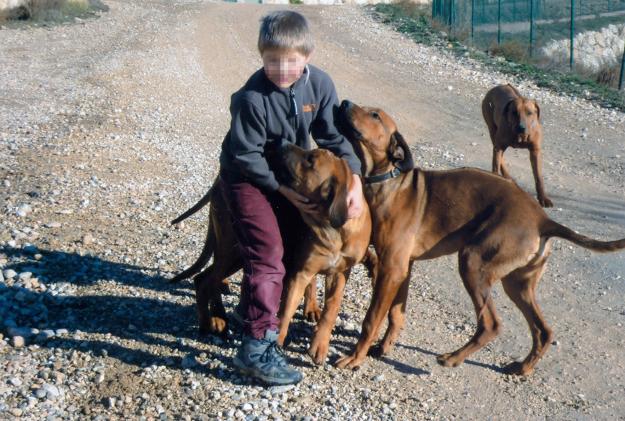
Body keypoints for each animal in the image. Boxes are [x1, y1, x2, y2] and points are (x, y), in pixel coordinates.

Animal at [336, 101, 624, 374]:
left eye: (375, 115)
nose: (345, 103)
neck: (388, 180)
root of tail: (542, 219)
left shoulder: (391, 268)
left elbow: (372, 318)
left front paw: (355, 357)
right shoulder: (403, 267)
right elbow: (396, 314)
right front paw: (383, 348)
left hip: (473, 262)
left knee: (491, 324)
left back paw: (453, 358)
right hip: (518, 283)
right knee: (544, 331)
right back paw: (522, 368)